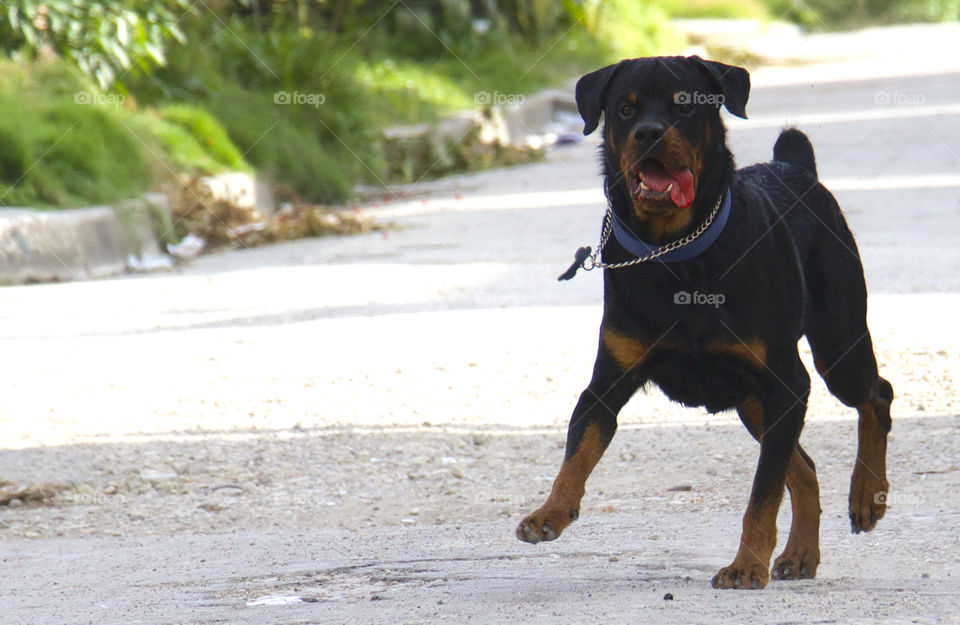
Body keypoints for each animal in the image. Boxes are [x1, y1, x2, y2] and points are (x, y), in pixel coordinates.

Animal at [516, 56, 892, 588]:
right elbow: (578, 448)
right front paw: (550, 511)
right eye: (625, 109)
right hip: (756, 402)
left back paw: (865, 497)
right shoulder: (609, 381)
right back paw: (801, 553)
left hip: (835, 344)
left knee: (875, 397)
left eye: (685, 106)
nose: (649, 133)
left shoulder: (785, 381)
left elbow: (761, 494)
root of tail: (795, 168)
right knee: (804, 467)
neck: (677, 256)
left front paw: (746, 565)